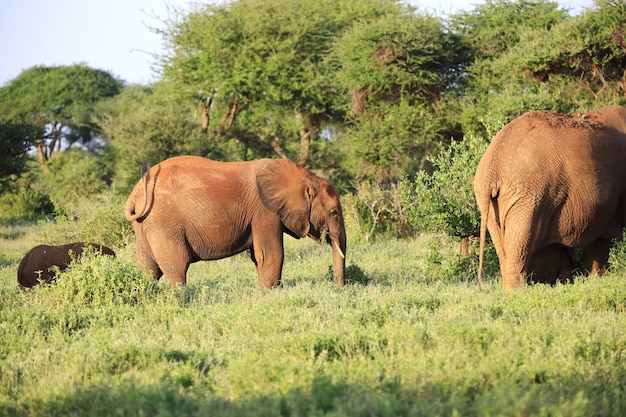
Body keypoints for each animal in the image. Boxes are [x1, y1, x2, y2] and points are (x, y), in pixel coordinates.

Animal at [123, 154, 346, 288]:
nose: (339, 287)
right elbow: (271, 254)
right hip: (165, 225)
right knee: (176, 267)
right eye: (333, 212)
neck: (303, 176)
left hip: (146, 226)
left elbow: (260, 257)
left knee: (149, 269)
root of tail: (135, 195)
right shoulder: (264, 211)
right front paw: (271, 293)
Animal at [472, 104, 624, 290]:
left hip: (493, 202)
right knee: (518, 248)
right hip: (528, 194)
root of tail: (492, 167)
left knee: (504, 251)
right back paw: (517, 293)